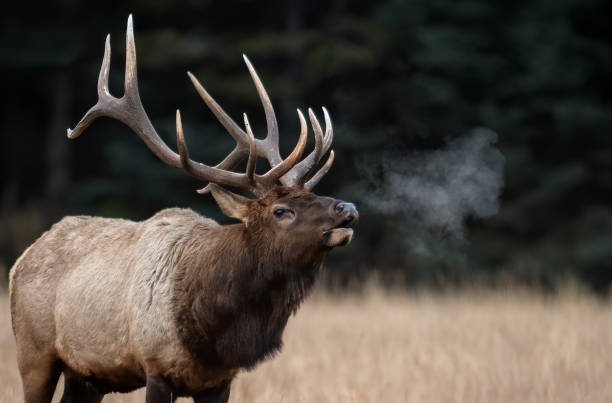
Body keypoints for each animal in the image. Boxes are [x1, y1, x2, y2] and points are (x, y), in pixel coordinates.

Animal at [8, 15, 358, 403]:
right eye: (280, 210)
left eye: (316, 194)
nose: (347, 207)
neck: (215, 331)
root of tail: (23, 257)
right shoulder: (156, 367)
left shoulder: (219, 381)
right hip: (33, 353)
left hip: (86, 374)